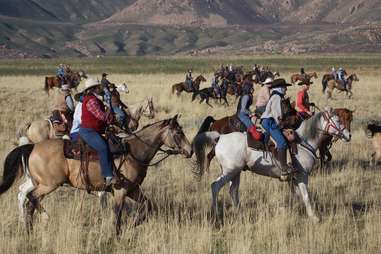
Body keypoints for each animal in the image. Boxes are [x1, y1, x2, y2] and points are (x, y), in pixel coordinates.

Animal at [0, 114, 190, 234]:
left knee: (27, 197)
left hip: (39, 183)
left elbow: (148, 205)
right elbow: (117, 214)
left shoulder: (133, 190)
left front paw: (135, 223)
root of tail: (32, 146)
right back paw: (40, 220)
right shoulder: (120, 191)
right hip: (49, 184)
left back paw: (29, 227)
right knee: (31, 197)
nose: (190, 151)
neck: (133, 152)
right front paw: (116, 234)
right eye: (178, 133)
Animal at [193, 109, 350, 222]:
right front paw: (314, 217)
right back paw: (215, 213)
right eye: (337, 120)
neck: (303, 142)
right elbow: (306, 196)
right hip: (229, 172)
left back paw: (239, 212)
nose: (349, 135)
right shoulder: (302, 176)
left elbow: (295, 196)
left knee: (233, 191)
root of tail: (220, 137)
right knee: (215, 186)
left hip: (236, 172)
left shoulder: (292, 179)